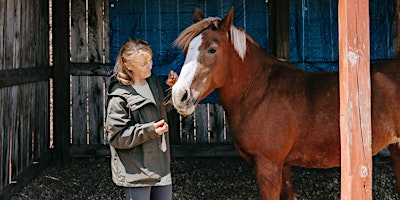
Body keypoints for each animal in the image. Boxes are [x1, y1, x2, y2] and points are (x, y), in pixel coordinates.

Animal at [172, 7, 400, 199]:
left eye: (212, 49)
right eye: (187, 50)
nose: (179, 95)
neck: (258, 92)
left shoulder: (268, 166)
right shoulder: (282, 166)